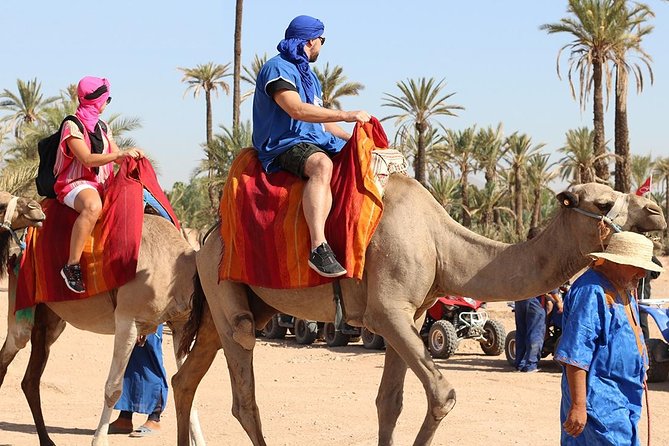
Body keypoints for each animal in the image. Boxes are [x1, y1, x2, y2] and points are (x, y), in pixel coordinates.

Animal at [0, 192, 206, 446]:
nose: (34, 209)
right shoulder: (128, 320)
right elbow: (113, 388)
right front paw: (99, 440)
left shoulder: (180, 325)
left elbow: (189, 384)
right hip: (21, 308)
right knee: (11, 351)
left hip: (50, 320)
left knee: (30, 377)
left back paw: (47, 440)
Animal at [171, 178, 664, 446]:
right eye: (603, 203)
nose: (656, 209)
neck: (441, 247)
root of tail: (206, 235)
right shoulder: (387, 310)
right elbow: (442, 395)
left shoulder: (404, 319)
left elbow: (389, 402)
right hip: (224, 289)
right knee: (243, 388)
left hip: (229, 307)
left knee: (185, 378)